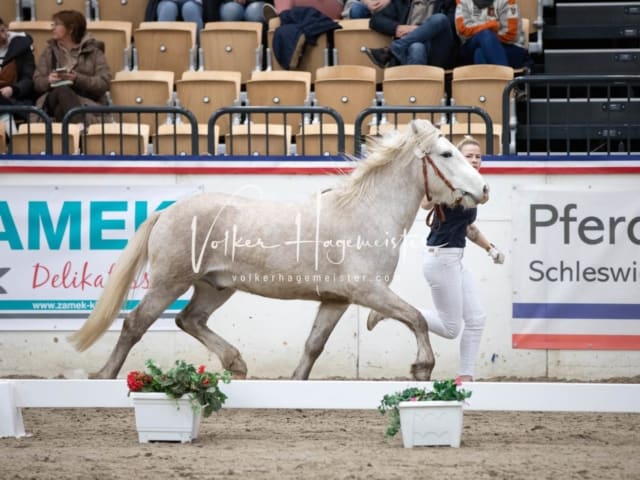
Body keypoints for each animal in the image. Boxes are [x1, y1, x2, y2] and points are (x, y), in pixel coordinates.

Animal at [71, 121, 490, 382]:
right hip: (169, 282)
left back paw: (236, 363)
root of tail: (166, 211)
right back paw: (105, 375)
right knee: (135, 323)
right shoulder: (368, 291)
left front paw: (295, 381)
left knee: (189, 320)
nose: (484, 189)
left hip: (215, 286)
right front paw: (422, 366)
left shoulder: (336, 300)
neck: (365, 214)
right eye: (446, 154)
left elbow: (314, 346)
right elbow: (416, 317)